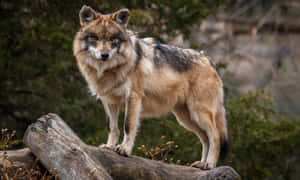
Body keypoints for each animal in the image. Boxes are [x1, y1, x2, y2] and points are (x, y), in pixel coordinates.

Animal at [74, 4, 229, 169]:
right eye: (95, 38)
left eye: (113, 40)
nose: (104, 55)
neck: (110, 70)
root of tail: (208, 59)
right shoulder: (109, 101)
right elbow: (113, 128)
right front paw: (109, 147)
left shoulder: (133, 97)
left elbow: (128, 126)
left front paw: (124, 149)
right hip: (186, 118)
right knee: (205, 138)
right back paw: (201, 164)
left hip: (198, 113)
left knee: (215, 136)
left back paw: (210, 164)